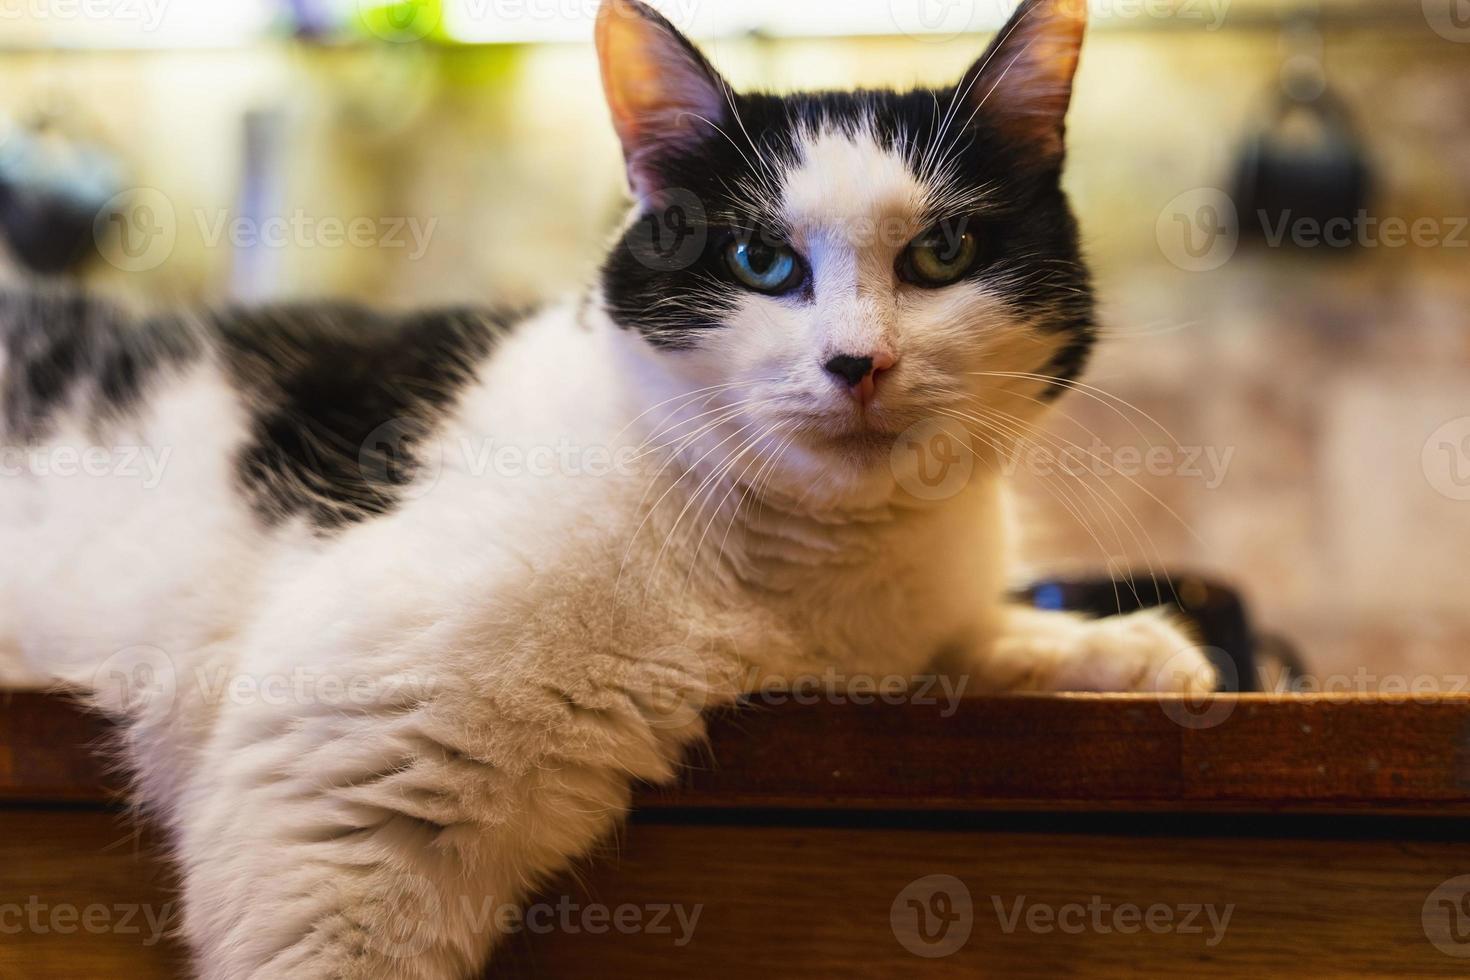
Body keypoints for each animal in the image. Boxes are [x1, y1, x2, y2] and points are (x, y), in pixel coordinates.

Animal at [0, 0, 1217, 975]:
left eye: (945, 253)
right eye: (760, 263)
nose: (858, 363)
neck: (809, 581)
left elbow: (965, 638)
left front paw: (1119, 651)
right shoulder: (329, 783)